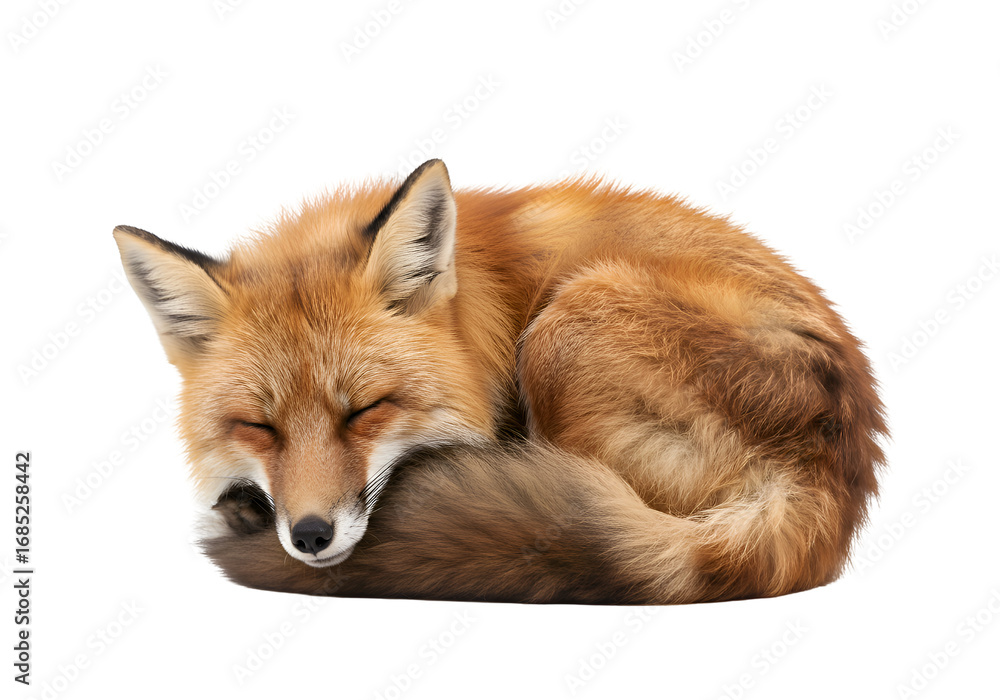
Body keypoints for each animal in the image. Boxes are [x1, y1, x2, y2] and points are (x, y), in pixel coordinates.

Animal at [113, 159, 886, 604]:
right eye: (259, 427)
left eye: (366, 410)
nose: (308, 536)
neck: (483, 302)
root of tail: (835, 473)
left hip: (566, 327)